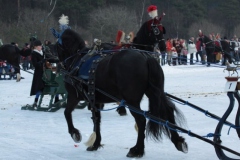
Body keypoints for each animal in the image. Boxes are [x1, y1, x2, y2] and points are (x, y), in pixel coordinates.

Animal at [54, 18, 188, 158]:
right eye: (156, 30)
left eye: (57, 45)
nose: (163, 47)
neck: (77, 58)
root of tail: (145, 57)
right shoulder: (95, 99)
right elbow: (96, 120)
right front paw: (96, 143)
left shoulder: (74, 96)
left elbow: (67, 113)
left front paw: (75, 133)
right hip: (154, 93)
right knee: (168, 111)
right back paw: (177, 140)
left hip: (132, 100)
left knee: (141, 120)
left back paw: (137, 149)